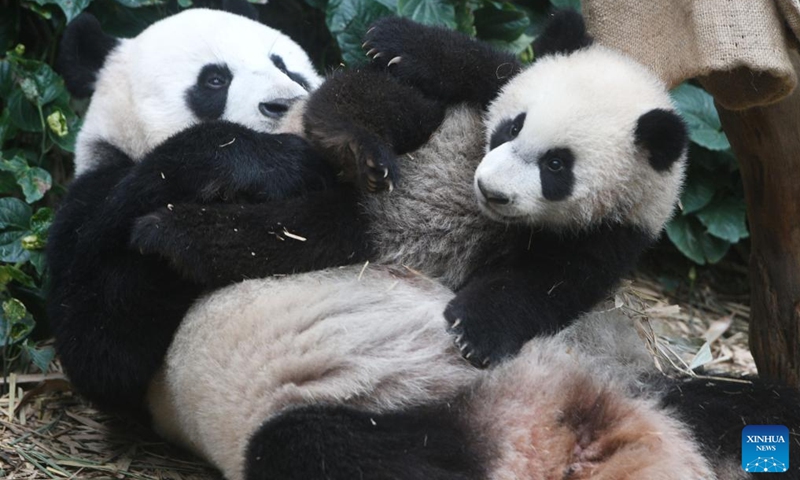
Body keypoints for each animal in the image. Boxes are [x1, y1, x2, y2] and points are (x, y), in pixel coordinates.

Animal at [130, 13, 688, 370]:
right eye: (512, 127)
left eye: (557, 165)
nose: (490, 190)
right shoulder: (488, 89)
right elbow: (476, 63)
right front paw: (393, 37)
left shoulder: (610, 234)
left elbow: (542, 285)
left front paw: (473, 333)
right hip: (415, 133)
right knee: (370, 102)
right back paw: (357, 146)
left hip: (351, 232)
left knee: (284, 236)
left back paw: (172, 236)